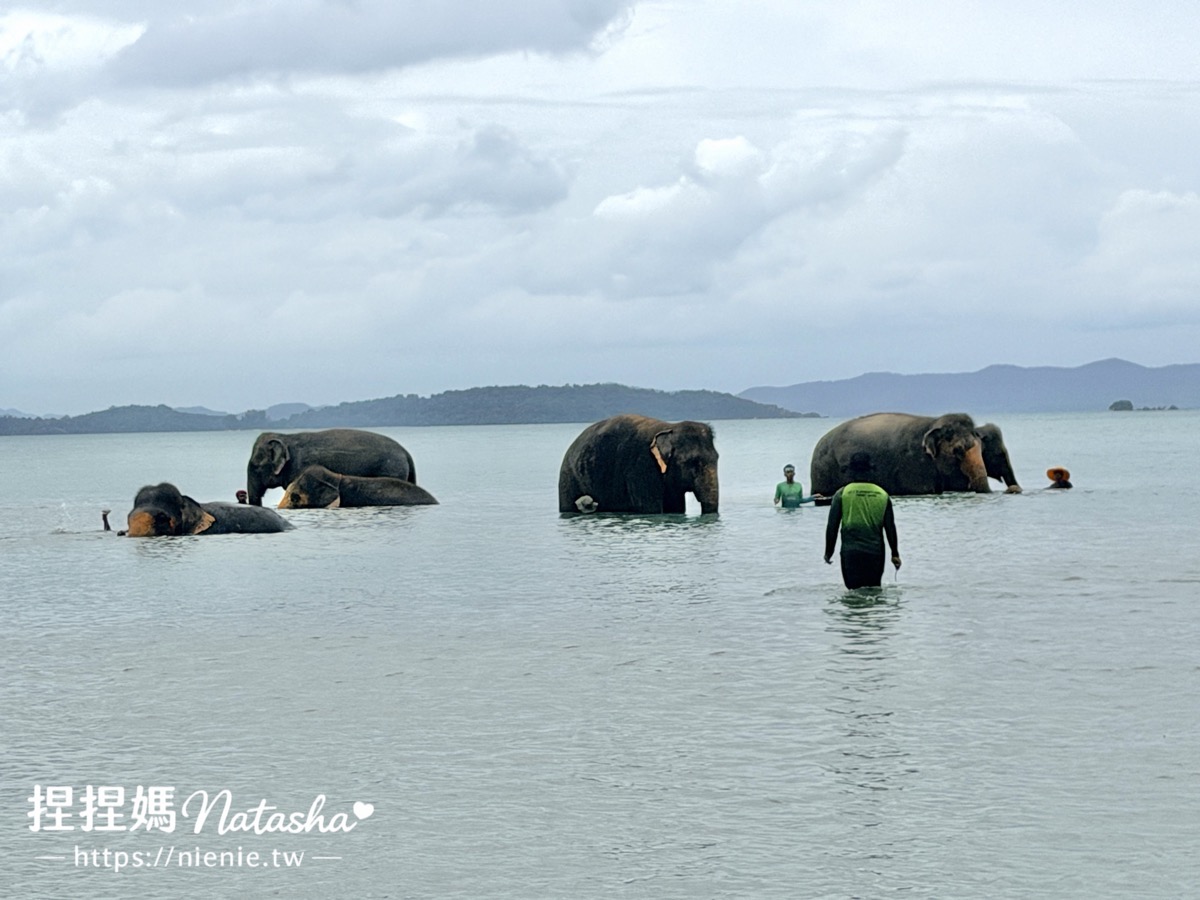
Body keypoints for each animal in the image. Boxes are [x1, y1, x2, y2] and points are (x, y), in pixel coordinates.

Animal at [558, 414, 719, 514]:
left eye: (717, 458)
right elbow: (650, 508)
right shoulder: (641, 468)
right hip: (569, 479)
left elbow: (676, 507)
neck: (669, 428)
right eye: (691, 462)